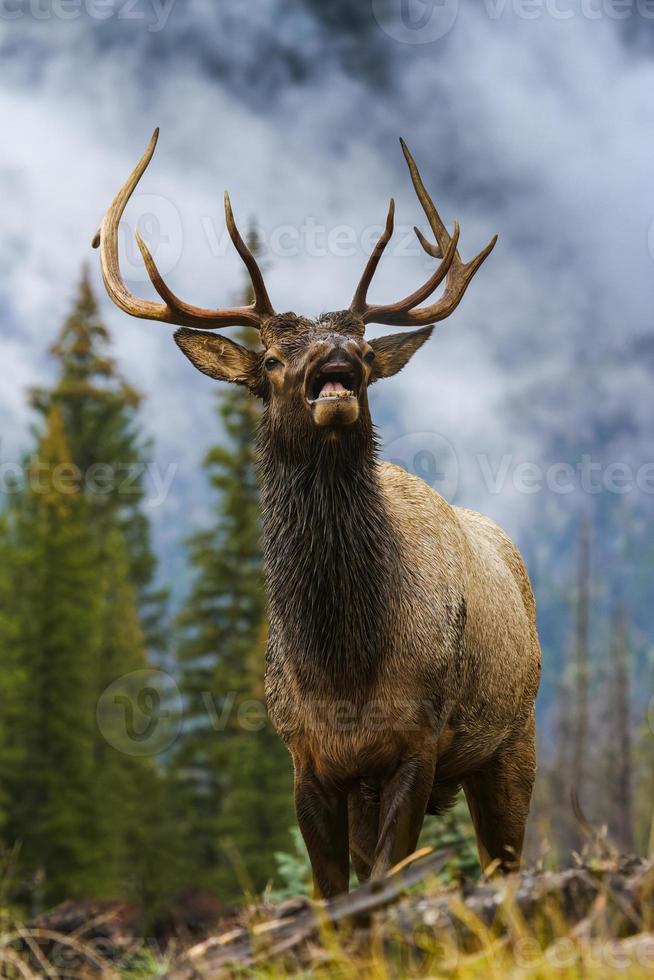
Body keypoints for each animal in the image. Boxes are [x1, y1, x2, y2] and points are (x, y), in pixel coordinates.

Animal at [92, 128, 544, 896]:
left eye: (362, 348)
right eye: (273, 359)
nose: (338, 357)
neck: (343, 669)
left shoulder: (417, 743)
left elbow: (384, 883)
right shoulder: (308, 757)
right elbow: (333, 891)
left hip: (515, 738)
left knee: (504, 861)